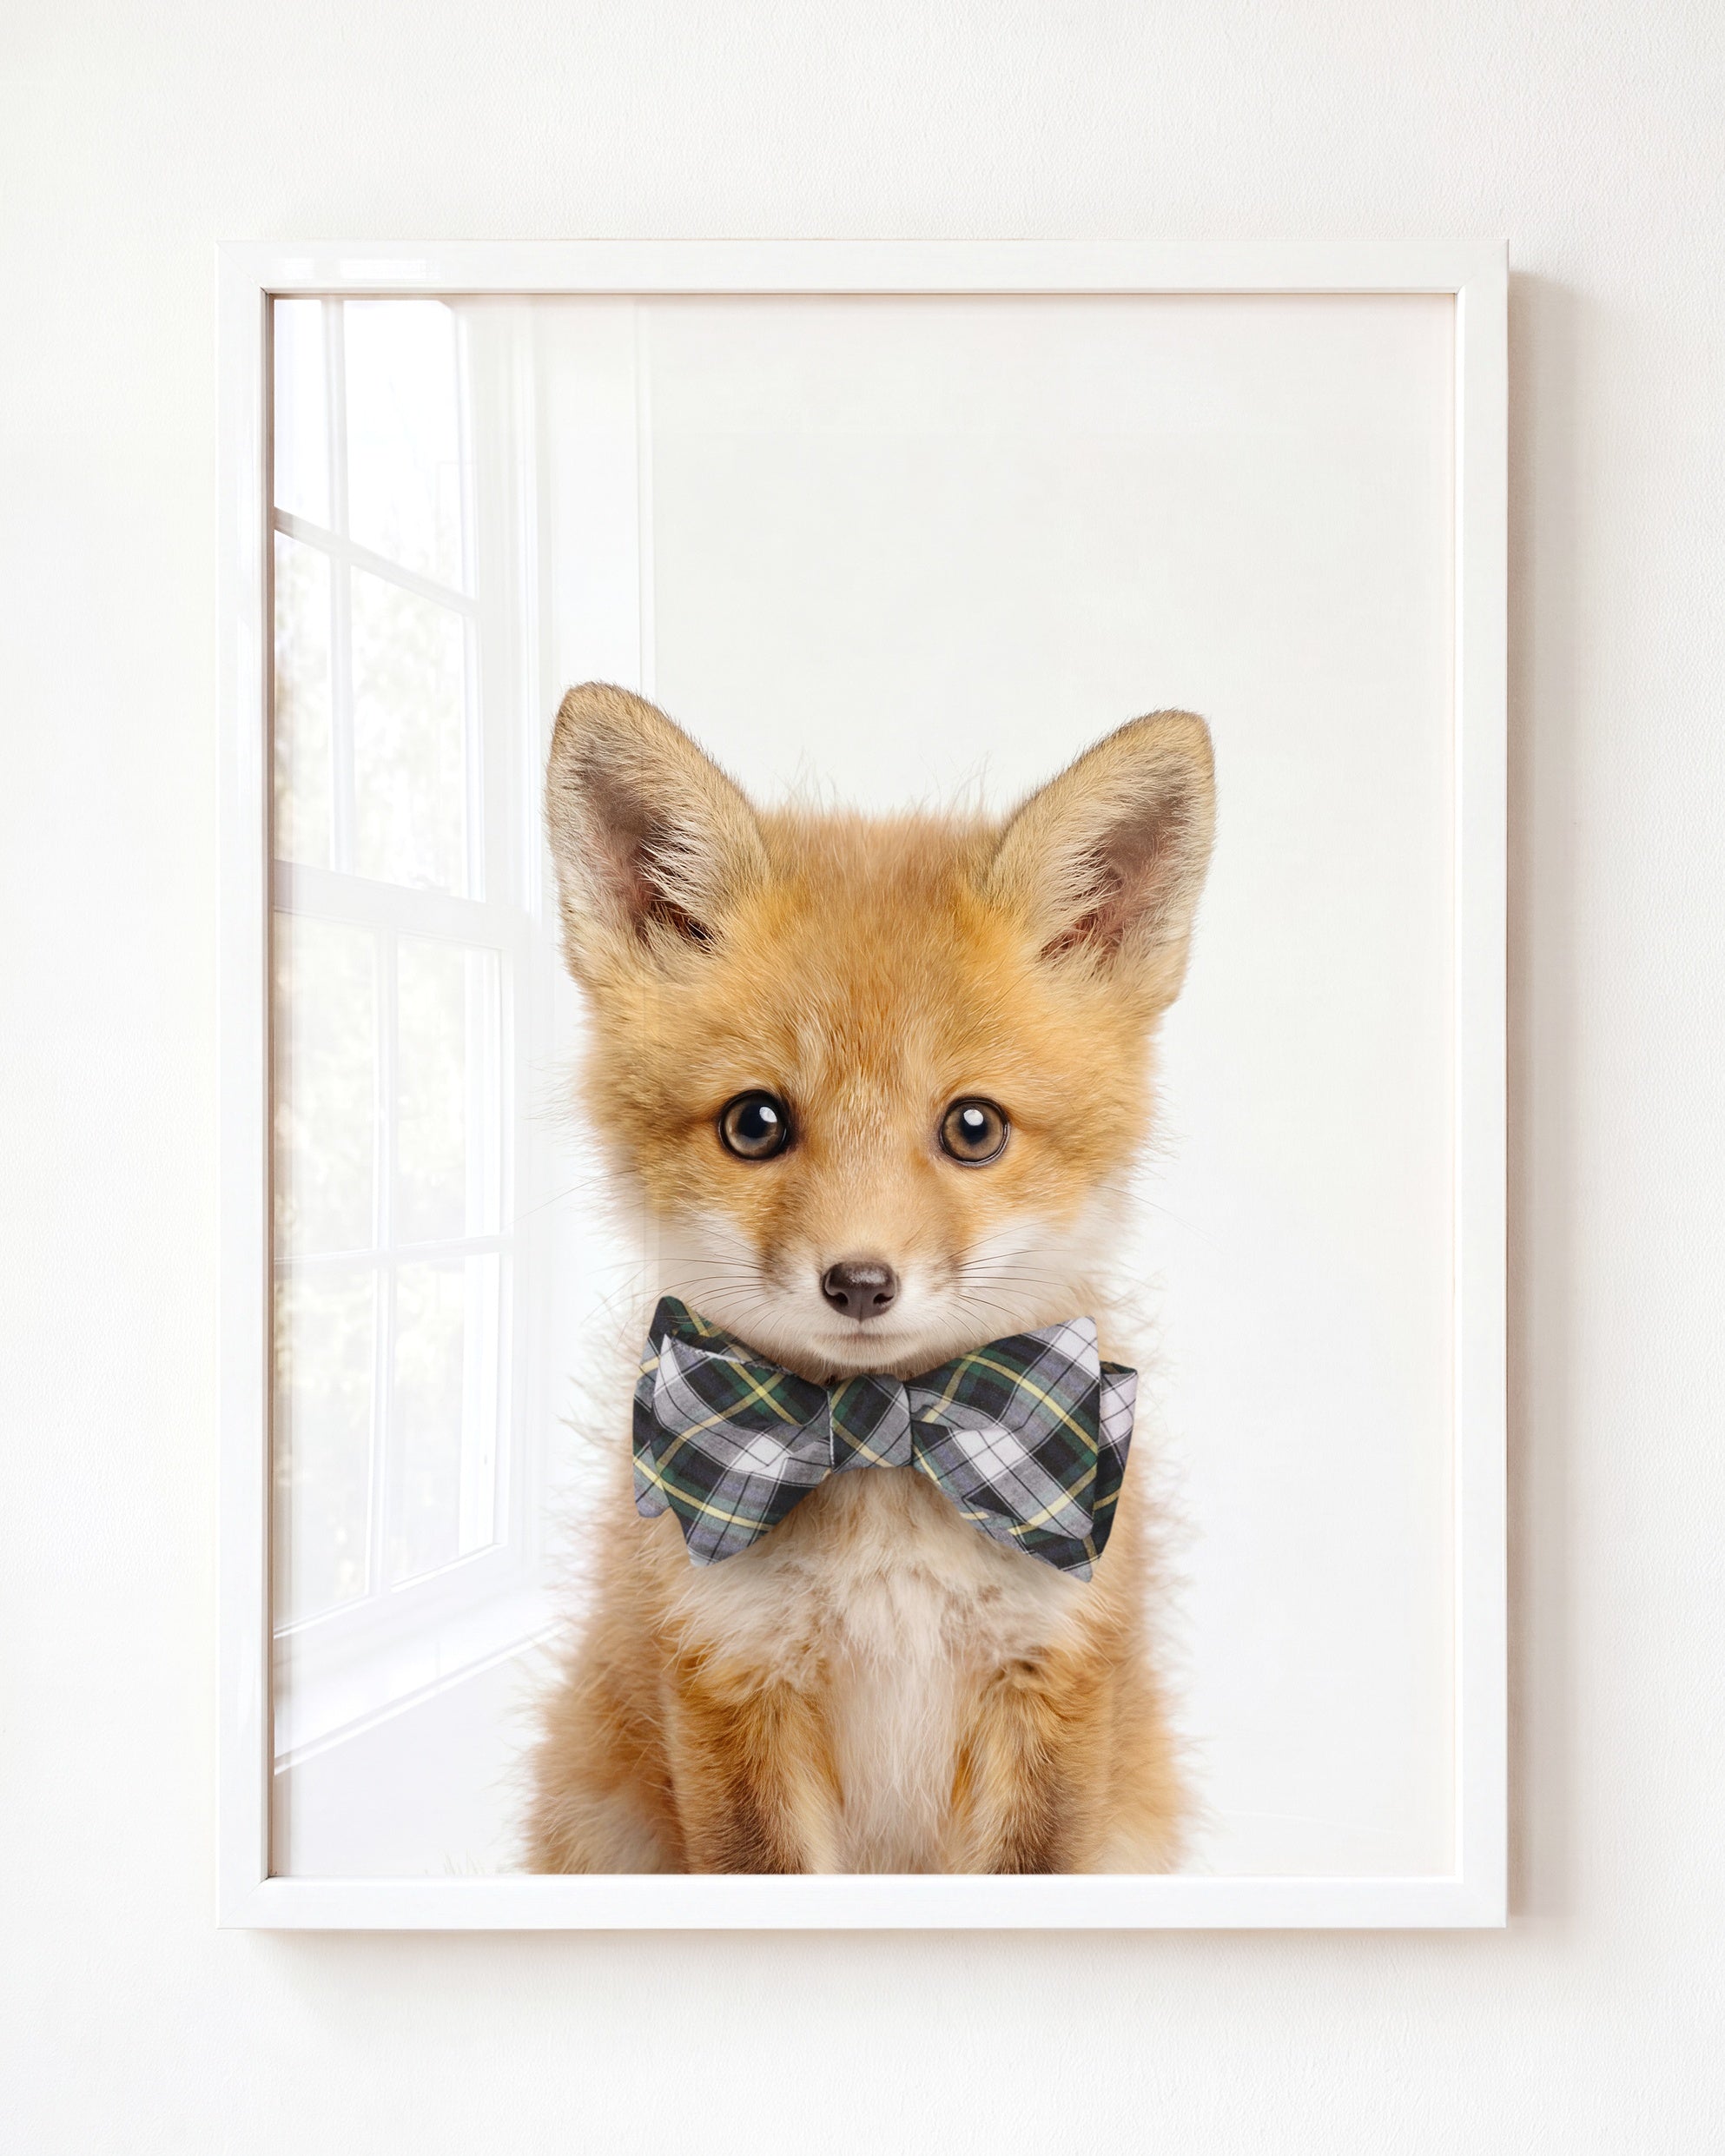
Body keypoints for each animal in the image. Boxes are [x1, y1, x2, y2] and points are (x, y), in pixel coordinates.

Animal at [523, 682, 1215, 1874]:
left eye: (974, 1128)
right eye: (755, 1124)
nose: (858, 1282)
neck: (885, 1446)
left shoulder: (1053, 1683)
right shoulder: (729, 1677)